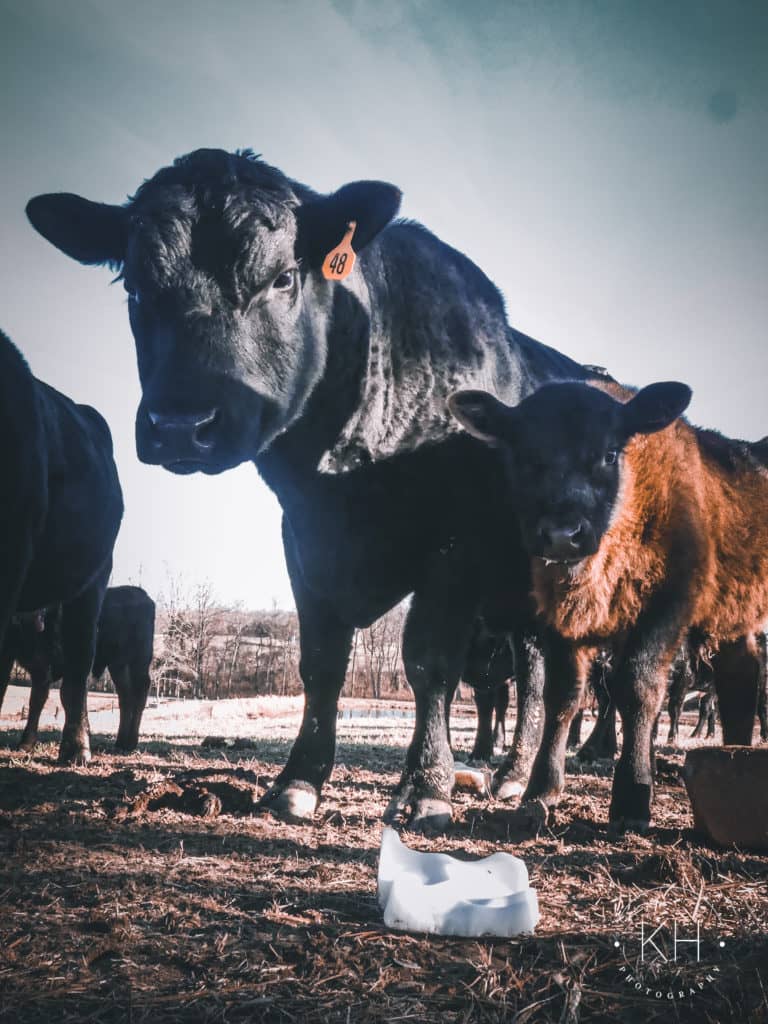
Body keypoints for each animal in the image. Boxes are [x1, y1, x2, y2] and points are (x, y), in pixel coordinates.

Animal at [26, 148, 592, 830]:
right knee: (533, 674)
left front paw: (427, 786)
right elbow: (321, 661)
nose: (181, 426)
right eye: (135, 287)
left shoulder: (452, 546)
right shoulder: (302, 539)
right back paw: (510, 775)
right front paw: (299, 780)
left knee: (559, 687)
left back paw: (534, 785)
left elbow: (429, 661)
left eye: (282, 278)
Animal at [450, 378, 768, 832]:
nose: (563, 534)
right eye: (524, 456)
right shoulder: (558, 627)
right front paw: (540, 790)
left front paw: (631, 800)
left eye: (609, 453)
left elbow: (637, 691)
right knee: (738, 677)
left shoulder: (664, 611)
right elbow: (562, 696)